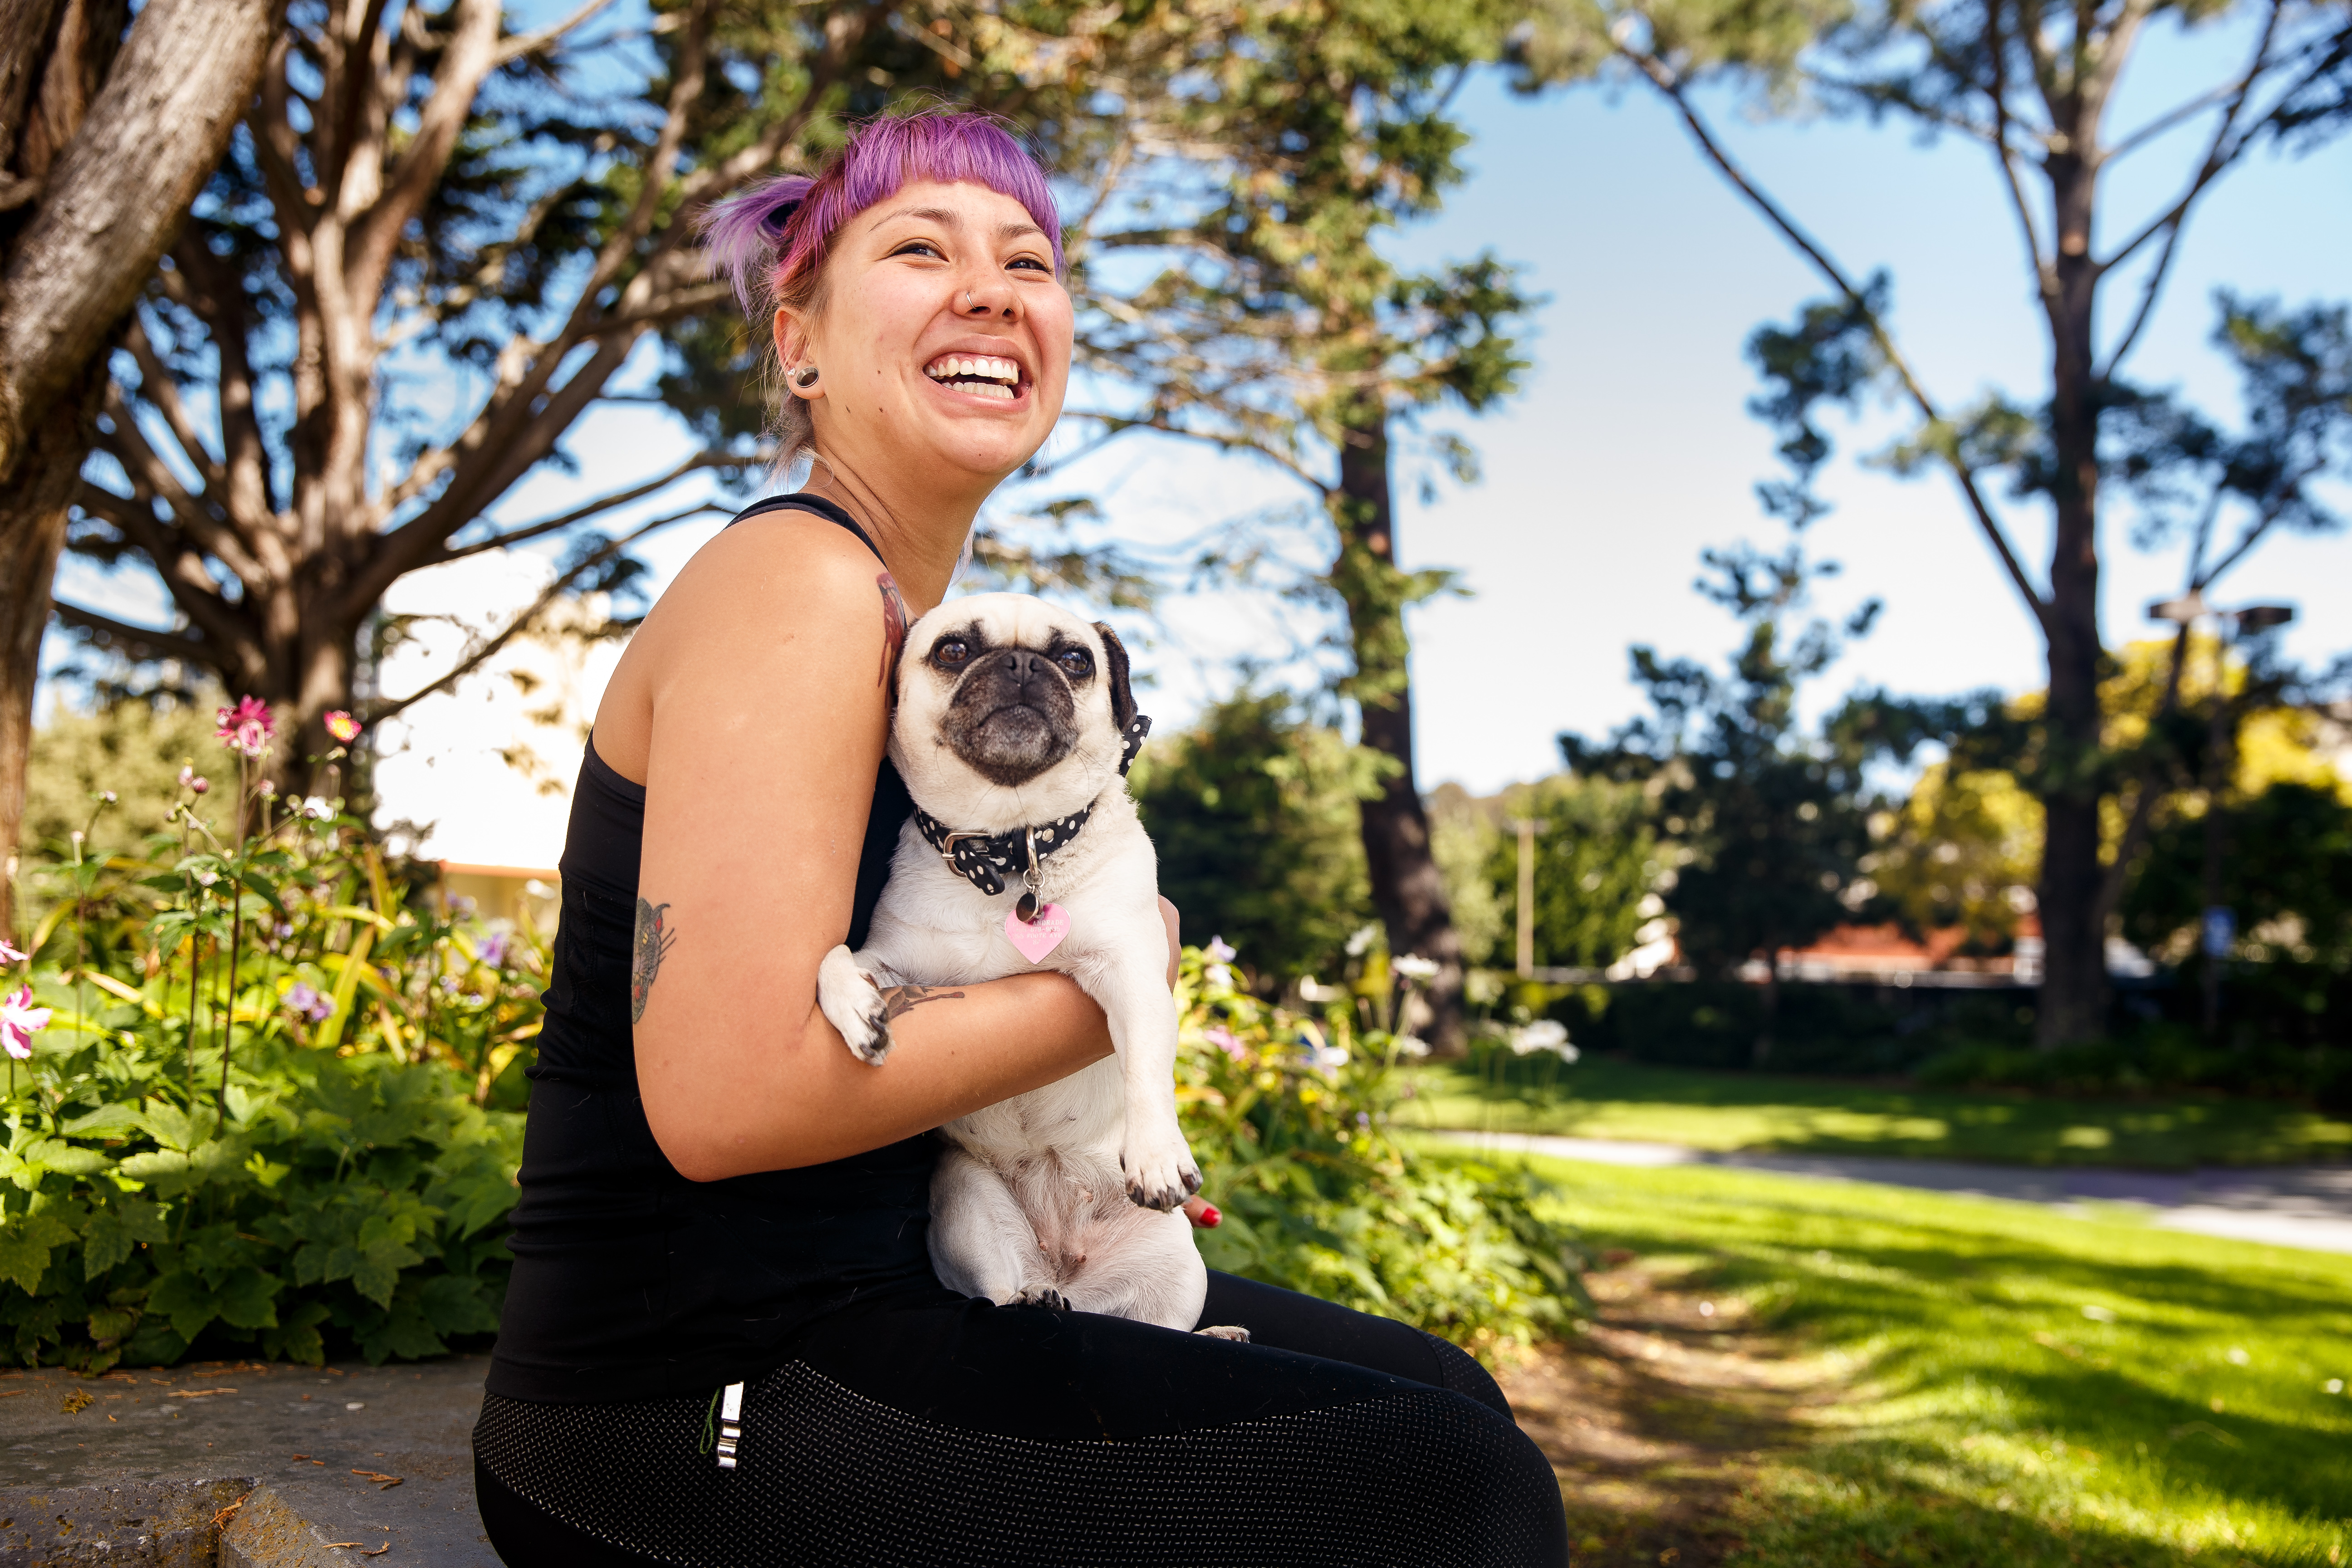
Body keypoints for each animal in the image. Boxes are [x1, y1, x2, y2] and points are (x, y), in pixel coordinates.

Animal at [813, 594, 1213, 1335]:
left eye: (1076, 660)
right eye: (953, 650)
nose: (1023, 664)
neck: (1008, 848)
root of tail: (1071, 1276)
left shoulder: (1132, 974)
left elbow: (1147, 1066)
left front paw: (1155, 1152)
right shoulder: (898, 965)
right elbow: (836, 957)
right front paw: (857, 1012)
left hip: (1179, 1264)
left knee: (1170, 1324)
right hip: (965, 1200)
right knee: (998, 1292)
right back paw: (1033, 1295)